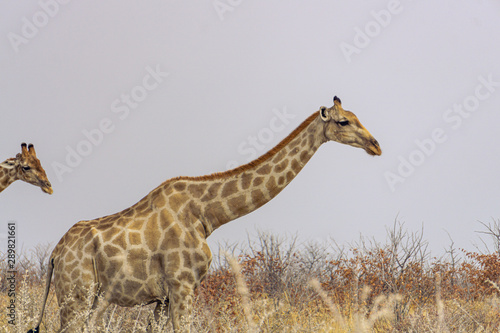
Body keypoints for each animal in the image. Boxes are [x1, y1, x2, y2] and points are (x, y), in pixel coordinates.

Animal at [29, 96, 380, 332]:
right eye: (343, 121)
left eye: (356, 115)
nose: (376, 145)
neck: (207, 215)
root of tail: (55, 255)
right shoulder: (182, 286)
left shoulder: (164, 297)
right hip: (76, 294)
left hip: (91, 298)